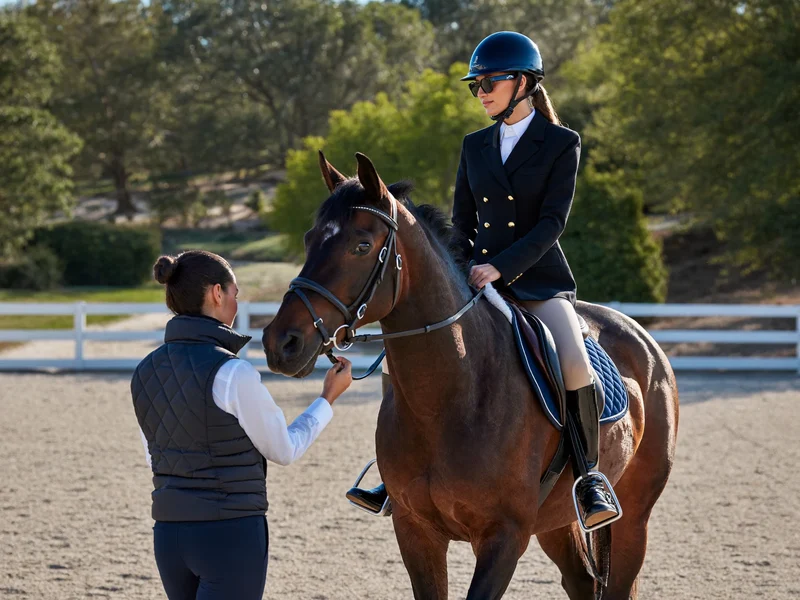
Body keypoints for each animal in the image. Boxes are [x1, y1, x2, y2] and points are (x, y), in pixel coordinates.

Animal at [263, 152, 679, 599]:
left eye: (361, 245)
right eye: (309, 240)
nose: (281, 343)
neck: (449, 398)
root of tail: (641, 335)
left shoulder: (504, 536)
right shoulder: (415, 530)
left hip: (633, 516)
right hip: (556, 519)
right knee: (581, 582)